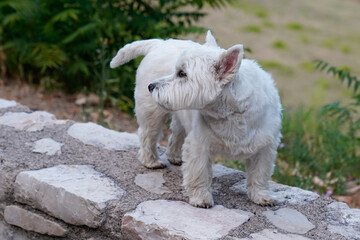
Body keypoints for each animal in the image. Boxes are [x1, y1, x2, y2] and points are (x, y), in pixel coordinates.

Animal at [109, 31, 282, 208]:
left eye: (182, 73)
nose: (151, 86)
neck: (231, 112)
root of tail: (159, 43)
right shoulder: (200, 144)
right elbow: (199, 172)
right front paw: (201, 198)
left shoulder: (265, 146)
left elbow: (260, 174)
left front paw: (261, 196)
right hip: (152, 112)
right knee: (148, 135)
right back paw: (151, 161)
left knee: (176, 133)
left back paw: (175, 156)